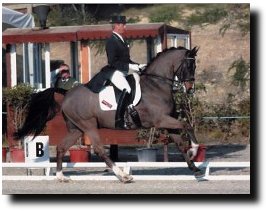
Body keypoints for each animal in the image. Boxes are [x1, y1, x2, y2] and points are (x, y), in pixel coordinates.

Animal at [14, 46, 202, 183]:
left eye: (194, 66)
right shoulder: (161, 120)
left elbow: (180, 142)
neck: (156, 85)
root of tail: (66, 94)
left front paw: (194, 167)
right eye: (189, 66)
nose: (190, 89)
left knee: (61, 147)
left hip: (76, 129)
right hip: (88, 125)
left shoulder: (168, 122)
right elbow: (187, 125)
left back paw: (61, 177)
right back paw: (123, 176)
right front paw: (194, 150)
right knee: (99, 149)